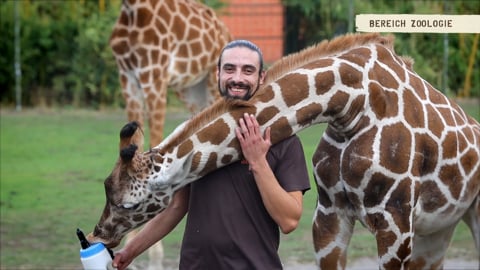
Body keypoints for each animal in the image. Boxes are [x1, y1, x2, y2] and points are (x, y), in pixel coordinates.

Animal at [88, 32, 478, 268]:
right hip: (436, 230)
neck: (351, 105)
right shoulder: (329, 216)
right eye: (106, 188)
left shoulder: (394, 224)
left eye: (129, 203)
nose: (98, 234)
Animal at [112, 0, 232, 147]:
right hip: (190, 89)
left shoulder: (154, 75)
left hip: (214, 82)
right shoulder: (127, 77)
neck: (132, 10)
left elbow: (155, 138)